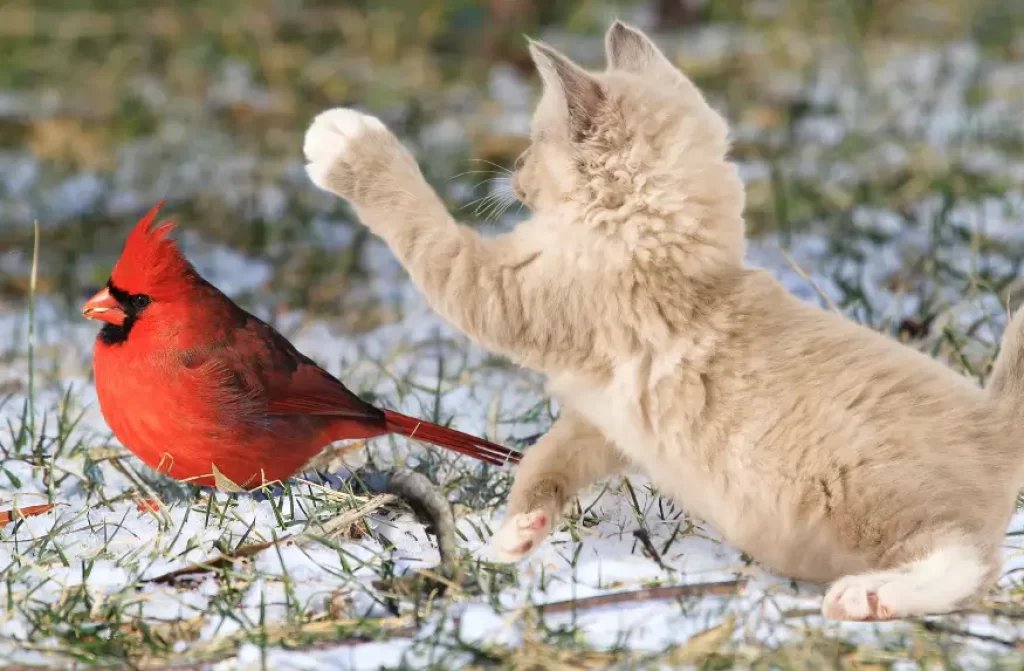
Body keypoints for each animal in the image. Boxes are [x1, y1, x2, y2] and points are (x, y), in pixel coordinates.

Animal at [299, 21, 1024, 622]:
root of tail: (994, 421)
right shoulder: (605, 418)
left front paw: (348, 145)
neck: (663, 242)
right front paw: (521, 528)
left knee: (966, 562)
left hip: (872, 499)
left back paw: (870, 595)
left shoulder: (498, 291)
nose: (517, 172)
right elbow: (551, 454)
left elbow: (421, 224)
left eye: (534, 144)